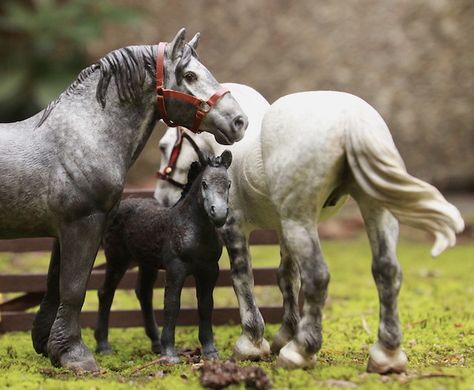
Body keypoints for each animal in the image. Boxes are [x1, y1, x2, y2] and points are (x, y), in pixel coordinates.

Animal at [94, 152, 231, 362]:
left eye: (229, 184)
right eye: (204, 184)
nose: (220, 214)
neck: (194, 231)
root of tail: (121, 205)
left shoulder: (209, 270)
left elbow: (206, 305)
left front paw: (210, 351)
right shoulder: (176, 268)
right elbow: (172, 305)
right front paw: (170, 354)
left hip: (146, 263)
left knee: (143, 292)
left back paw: (156, 342)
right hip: (117, 259)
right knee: (105, 292)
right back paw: (103, 346)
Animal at [155, 84, 462, 372]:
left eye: (165, 146)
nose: (163, 199)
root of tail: (351, 118)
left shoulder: (235, 227)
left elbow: (243, 278)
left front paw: (252, 343)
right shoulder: (283, 229)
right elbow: (287, 278)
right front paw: (284, 335)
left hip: (302, 222)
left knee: (318, 277)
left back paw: (300, 352)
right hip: (374, 211)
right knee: (387, 271)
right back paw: (387, 356)